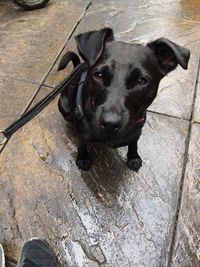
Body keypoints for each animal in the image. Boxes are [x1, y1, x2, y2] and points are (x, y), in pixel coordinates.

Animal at [57, 27, 189, 172]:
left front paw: (133, 157)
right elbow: (81, 144)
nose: (110, 123)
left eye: (141, 81)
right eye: (99, 75)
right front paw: (83, 158)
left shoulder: (136, 131)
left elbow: (133, 143)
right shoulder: (82, 134)